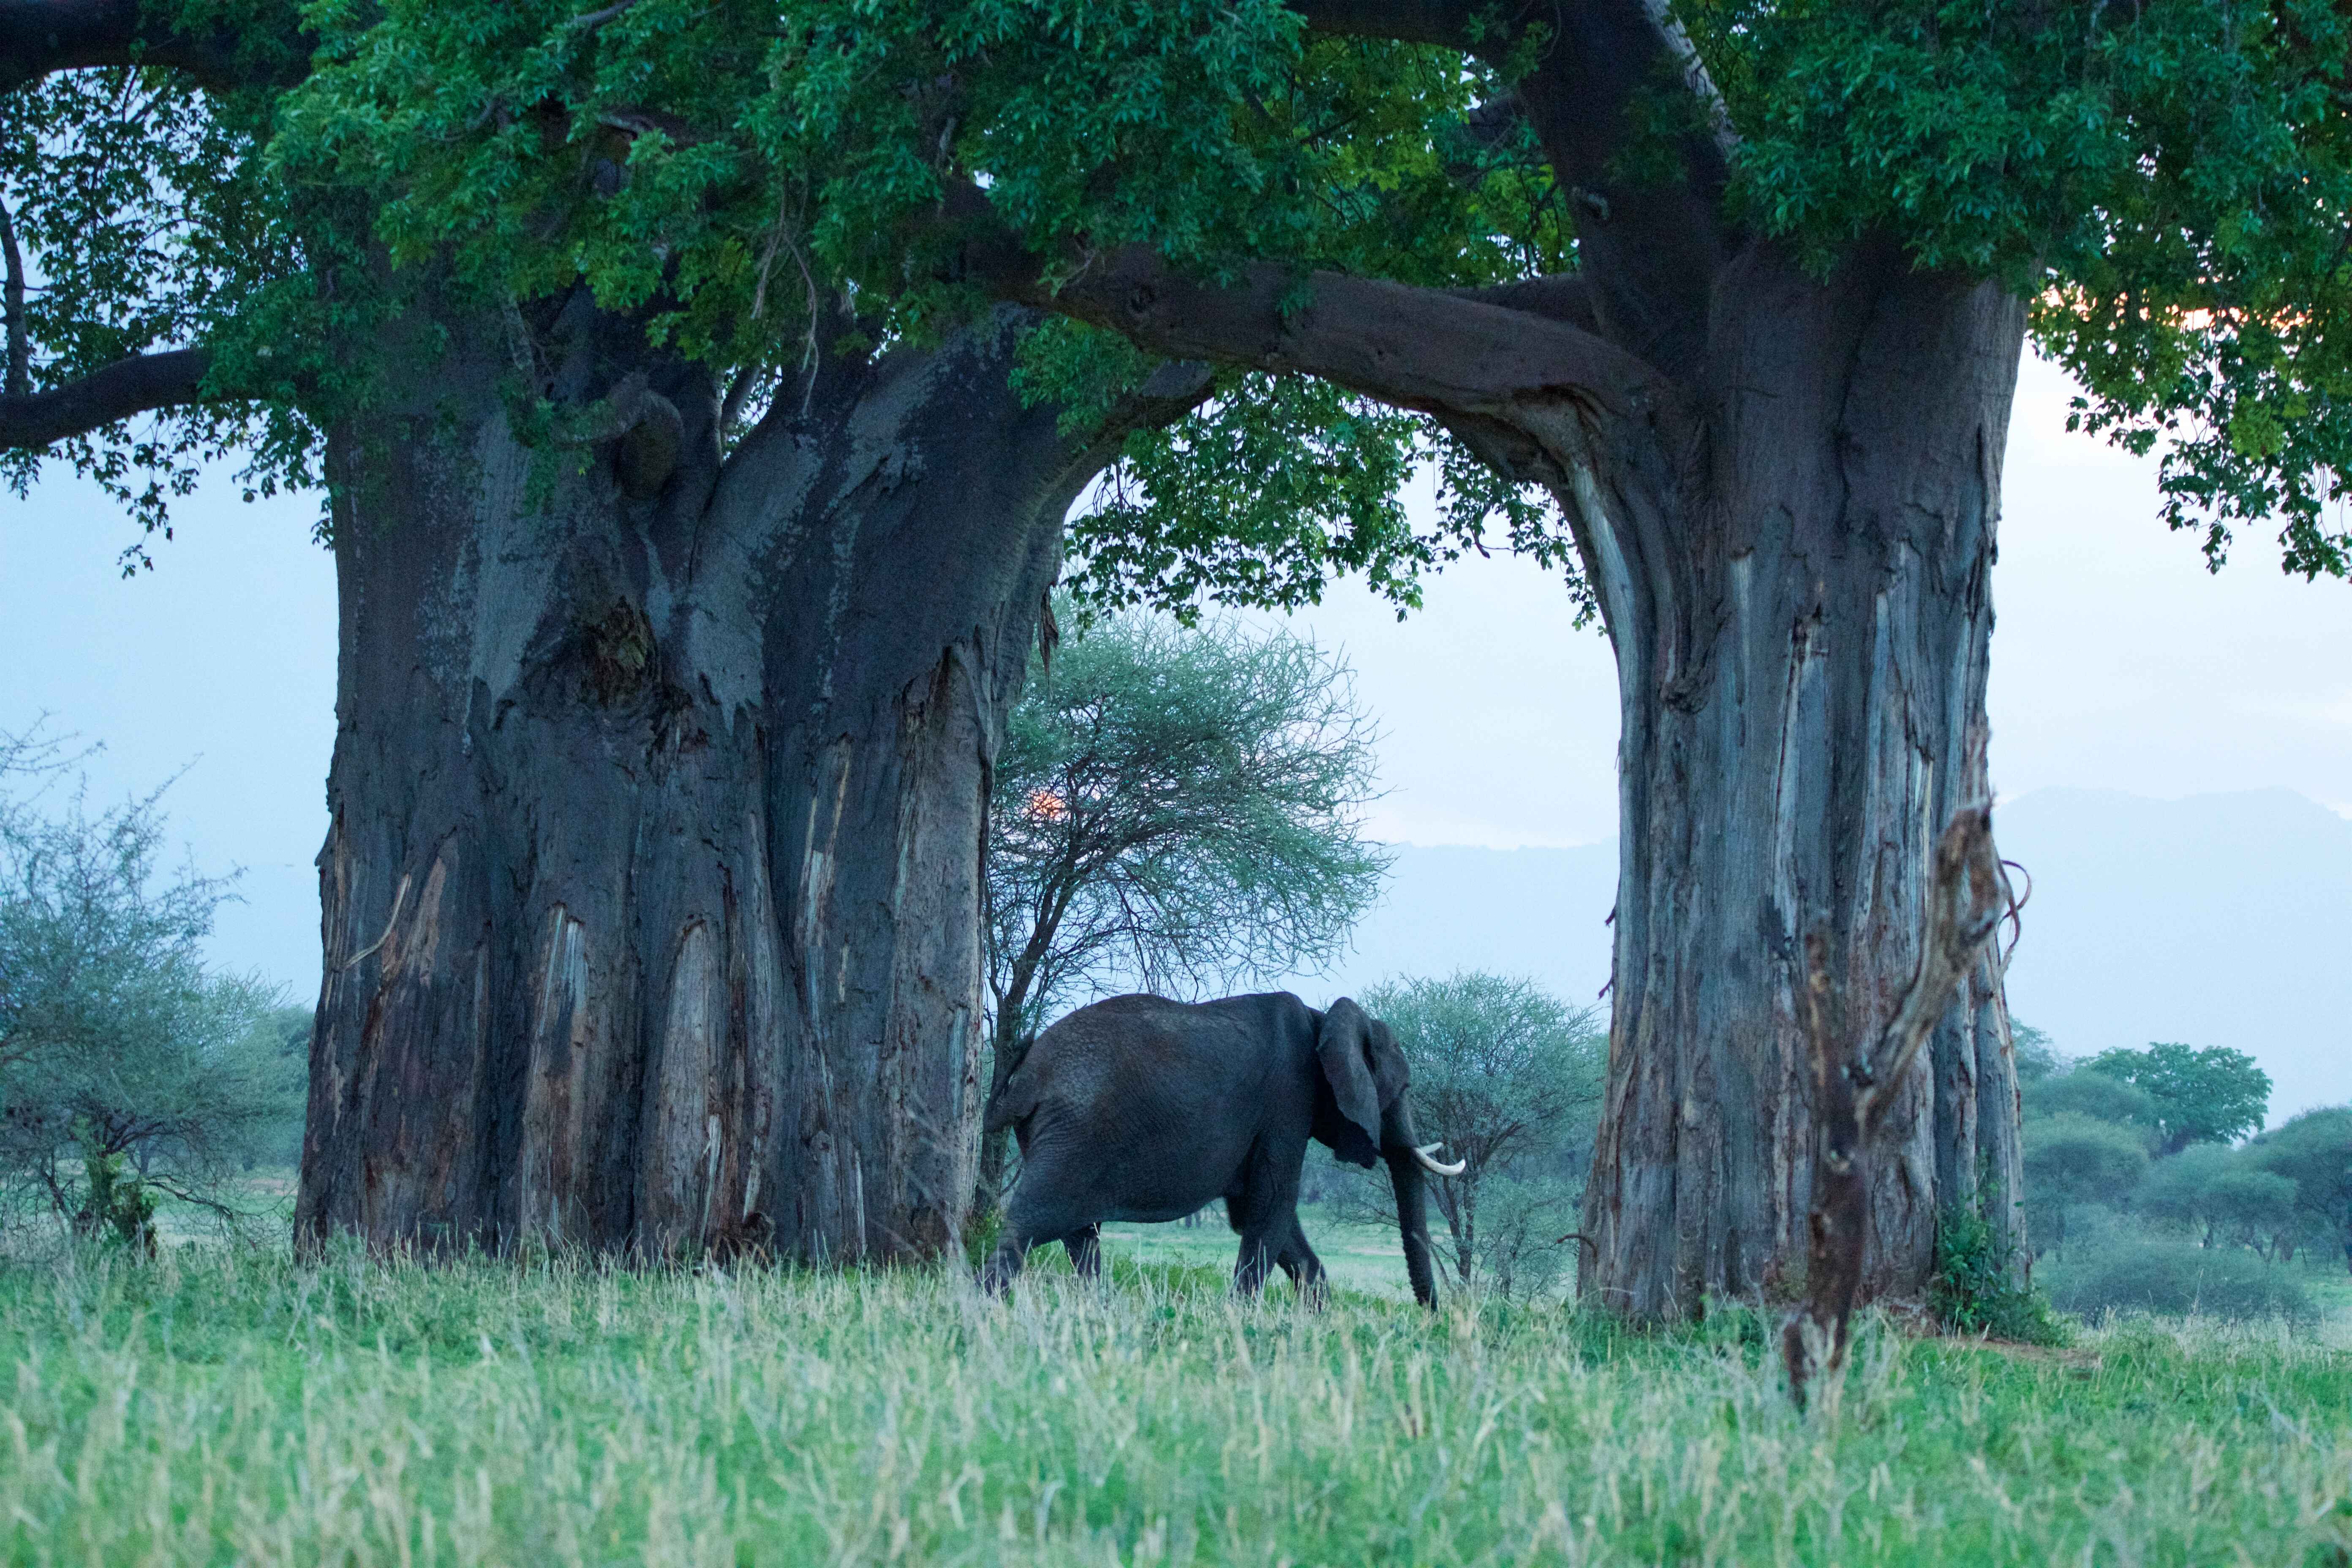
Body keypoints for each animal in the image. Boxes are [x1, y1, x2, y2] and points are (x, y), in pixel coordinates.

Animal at [978, 991, 1463, 1307]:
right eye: (1403, 1089)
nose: (1434, 1318)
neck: (1322, 1018)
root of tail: (1027, 1075)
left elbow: (1260, 1213)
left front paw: (1319, 1318)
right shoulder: (1288, 1101)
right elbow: (1272, 1205)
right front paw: (1242, 1318)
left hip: (1063, 1136)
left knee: (1081, 1237)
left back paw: (1095, 1311)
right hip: (1074, 1134)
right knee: (1030, 1225)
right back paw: (988, 1310)